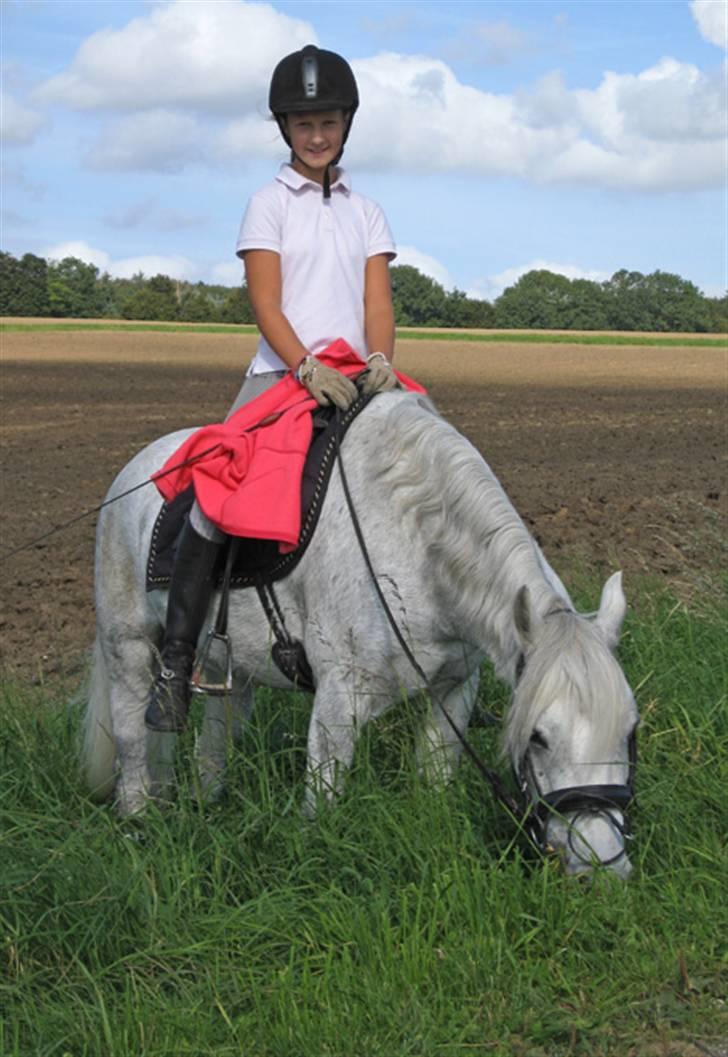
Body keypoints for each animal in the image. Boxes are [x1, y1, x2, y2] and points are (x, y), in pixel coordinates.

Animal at [85, 393, 638, 879]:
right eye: (538, 737)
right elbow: (322, 802)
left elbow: (434, 778)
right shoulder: (338, 701)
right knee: (132, 733)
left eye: (630, 730)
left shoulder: (454, 690)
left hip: (228, 666)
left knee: (216, 734)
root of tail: (133, 471)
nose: (603, 864)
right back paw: (138, 820)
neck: (417, 542)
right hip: (128, 644)